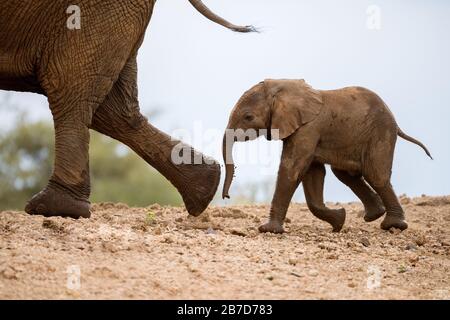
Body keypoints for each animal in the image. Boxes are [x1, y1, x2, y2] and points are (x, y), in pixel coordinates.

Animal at [222, 79, 432, 234]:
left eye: (248, 117)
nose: (226, 196)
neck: (282, 87)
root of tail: (395, 121)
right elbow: (312, 174)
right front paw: (339, 220)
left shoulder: (308, 129)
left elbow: (291, 169)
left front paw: (268, 230)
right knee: (345, 175)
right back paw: (374, 215)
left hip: (380, 133)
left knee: (376, 175)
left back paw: (393, 226)